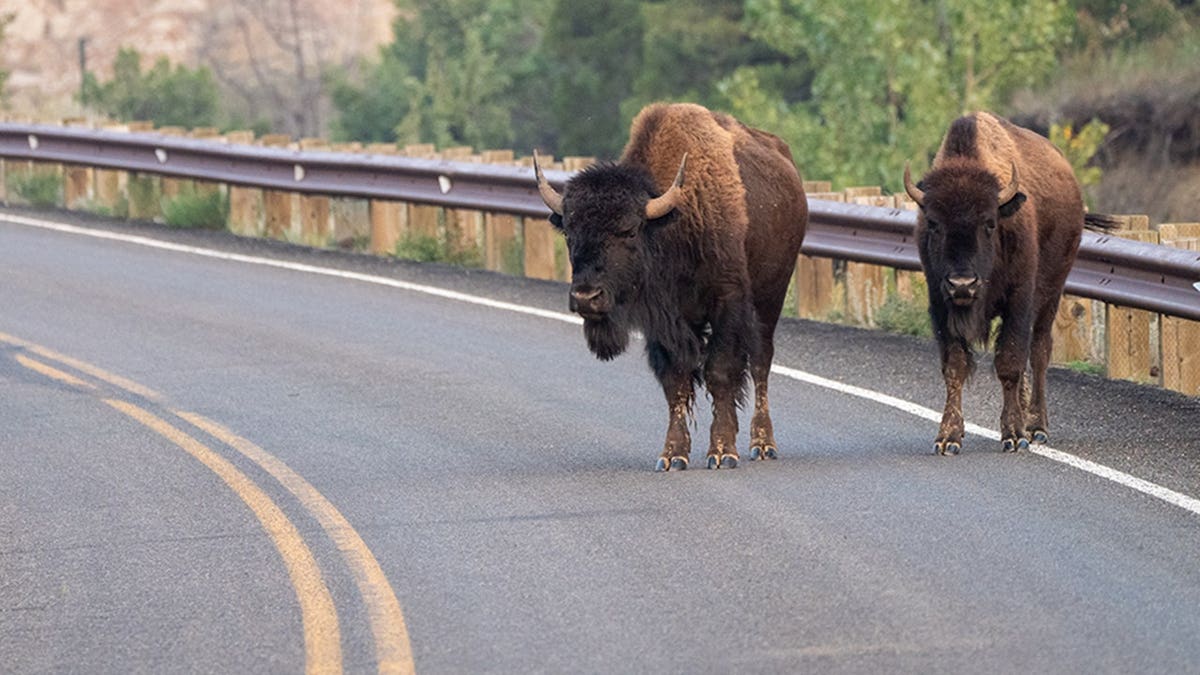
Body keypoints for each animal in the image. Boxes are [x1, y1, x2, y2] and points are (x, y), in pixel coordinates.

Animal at [534, 103, 808, 471]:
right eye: (569, 232)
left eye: (629, 230)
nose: (586, 297)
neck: (671, 223)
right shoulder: (661, 321)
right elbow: (675, 380)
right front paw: (672, 455)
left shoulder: (727, 302)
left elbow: (721, 370)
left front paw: (722, 452)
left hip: (770, 298)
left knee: (761, 361)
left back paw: (762, 445)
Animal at [904, 111, 1112, 454]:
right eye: (933, 224)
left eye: (989, 223)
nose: (963, 284)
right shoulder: (940, 304)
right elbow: (955, 366)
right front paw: (948, 438)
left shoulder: (1019, 301)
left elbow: (1010, 362)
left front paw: (1014, 435)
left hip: (1051, 294)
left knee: (1039, 351)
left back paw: (1036, 427)